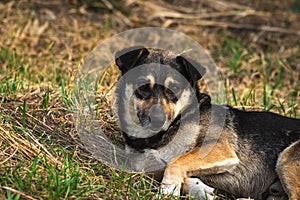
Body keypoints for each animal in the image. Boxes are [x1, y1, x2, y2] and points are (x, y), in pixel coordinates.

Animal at [113, 46, 298, 199]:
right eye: (143, 86)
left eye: (175, 89)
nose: (158, 120)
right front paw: (197, 188)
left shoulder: (220, 149)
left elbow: (175, 161)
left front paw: (168, 189)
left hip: (286, 159)